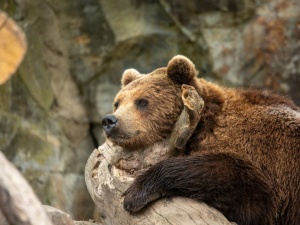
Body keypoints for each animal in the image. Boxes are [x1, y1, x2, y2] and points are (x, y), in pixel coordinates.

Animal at [102, 55, 298, 225]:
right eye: (117, 103)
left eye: (142, 101)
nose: (109, 121)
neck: (199, 126)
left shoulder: (265, 154)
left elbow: (247, 189)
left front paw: (135, 193)